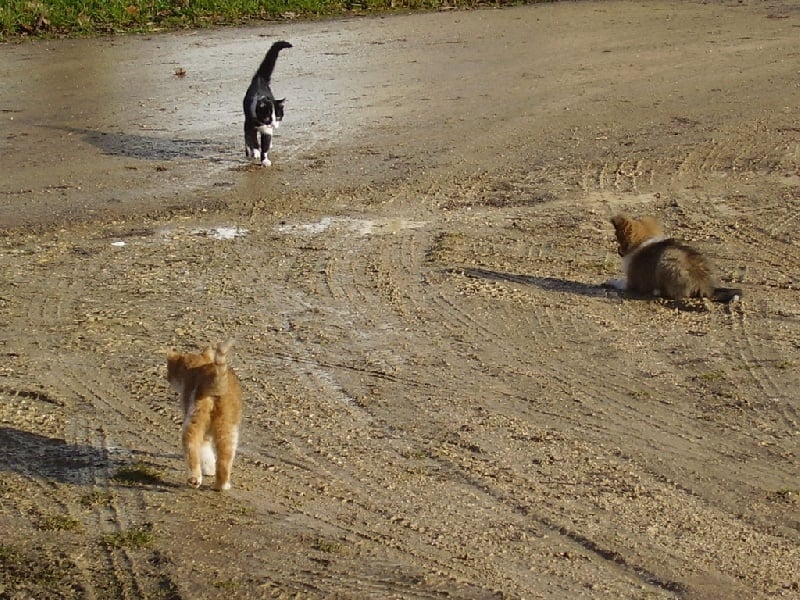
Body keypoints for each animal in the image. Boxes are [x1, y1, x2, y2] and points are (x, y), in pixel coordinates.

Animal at [166, 340, 242, 490]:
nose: (166, 377)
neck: (197, 366)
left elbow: (204, 451)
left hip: (194, 420)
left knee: (192, 449)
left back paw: (194, 479)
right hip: (228, 430)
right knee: (224, 460)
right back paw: (222, 486)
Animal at [608, 214, 740, 302]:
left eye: (618, 238)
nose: (618, 250)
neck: (642, 241)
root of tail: (705, 286)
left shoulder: (632, 282)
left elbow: (619, 281)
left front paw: (611, 281)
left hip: (666, 262)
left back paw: (657, 291)